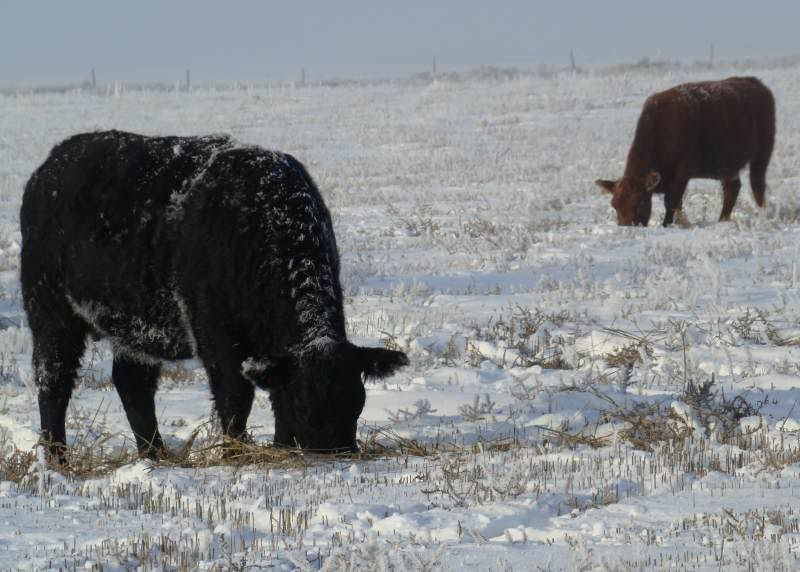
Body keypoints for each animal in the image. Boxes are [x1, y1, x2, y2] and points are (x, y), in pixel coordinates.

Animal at [20, 130, 409, 464]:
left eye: (357, 402)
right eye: (305, 406)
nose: (335, 455)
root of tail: (52, 163)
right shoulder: (215, 335)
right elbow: (235, 398)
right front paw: (235, 455)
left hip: (133, 327)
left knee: (133, 385)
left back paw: (155, 456)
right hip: (50, 312)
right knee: (53, 381)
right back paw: (57, 460)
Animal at [595, 76, 775, 226]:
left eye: (639, 202)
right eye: (614, 205)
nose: (625, 226)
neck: (659, 127)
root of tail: (757, 84)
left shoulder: (682, 173)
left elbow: (672, 201)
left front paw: (667, 224)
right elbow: (677, 203)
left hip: (761, 156)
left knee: (757, 185)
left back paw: (762, 216)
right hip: (728, 165)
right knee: (732, 188)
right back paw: (722, 220)